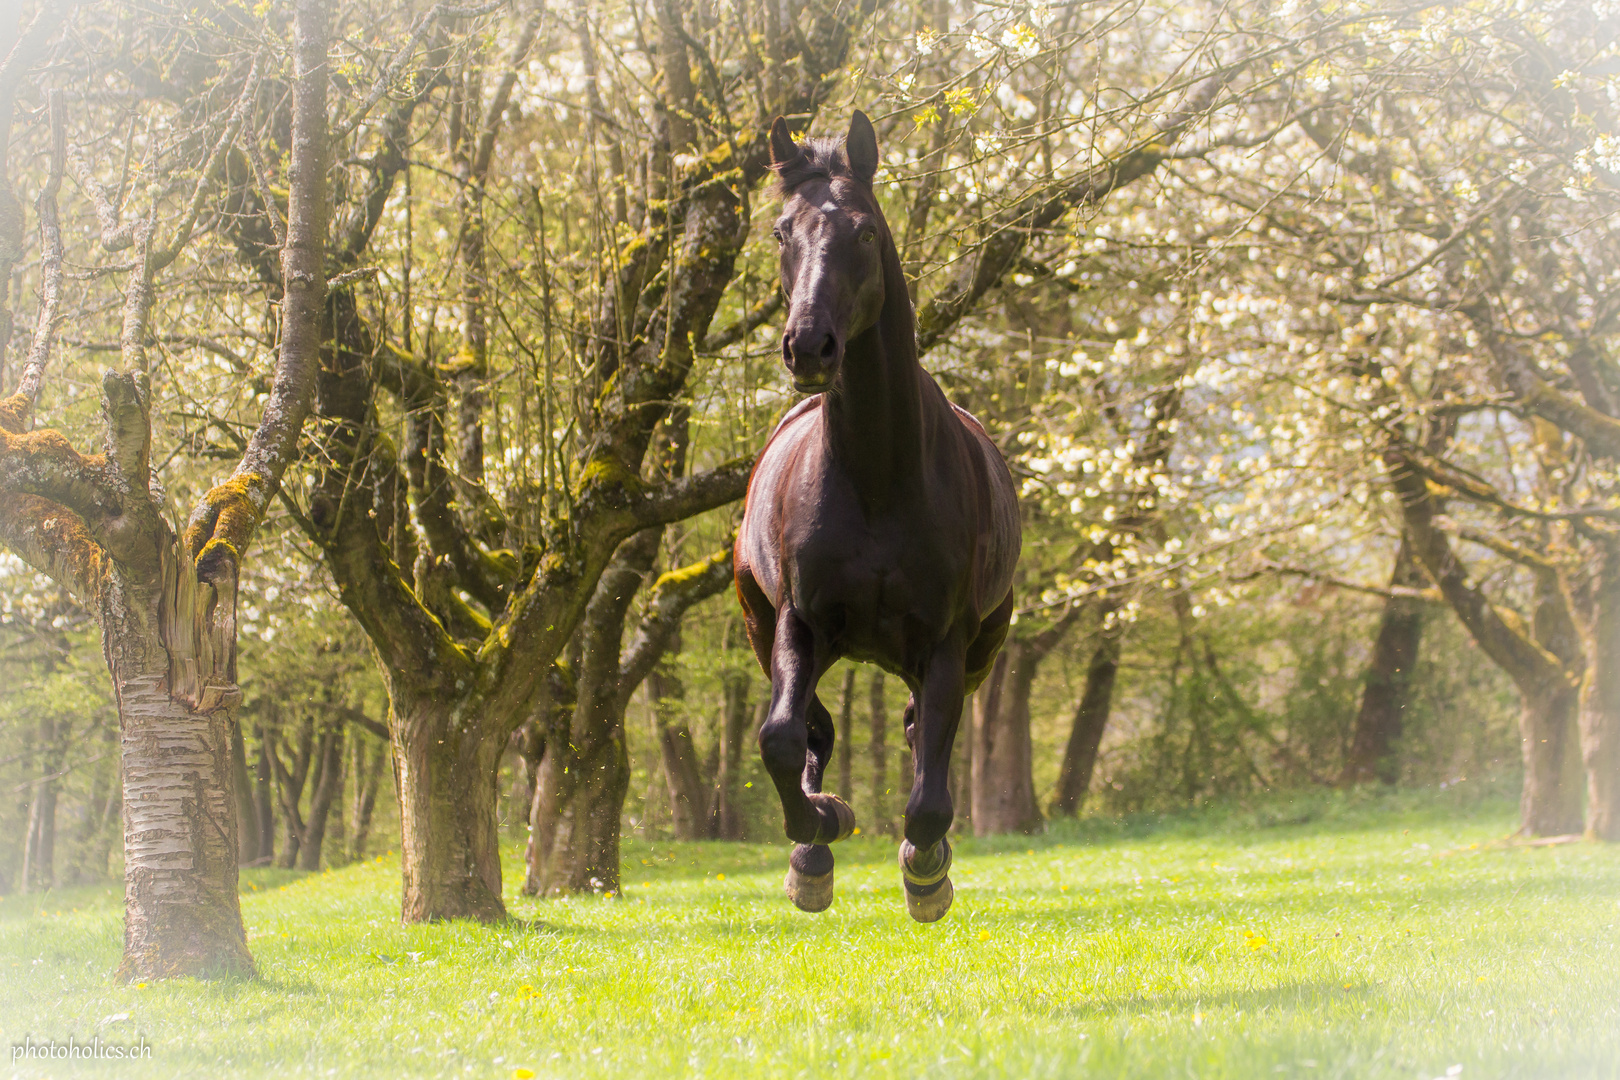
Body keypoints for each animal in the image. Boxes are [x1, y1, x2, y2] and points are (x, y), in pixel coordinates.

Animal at [738, 114, 1017, 926]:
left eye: (863, 231)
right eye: (781, 232)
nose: (809, 344)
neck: (876, 474)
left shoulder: (948, 642)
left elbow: (928, 797)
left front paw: (926, 874)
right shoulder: (799, 623)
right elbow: (780, 737)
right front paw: (817, 836)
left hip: (981, 644)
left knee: (924, 735)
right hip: (761, 624)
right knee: (813, 728)